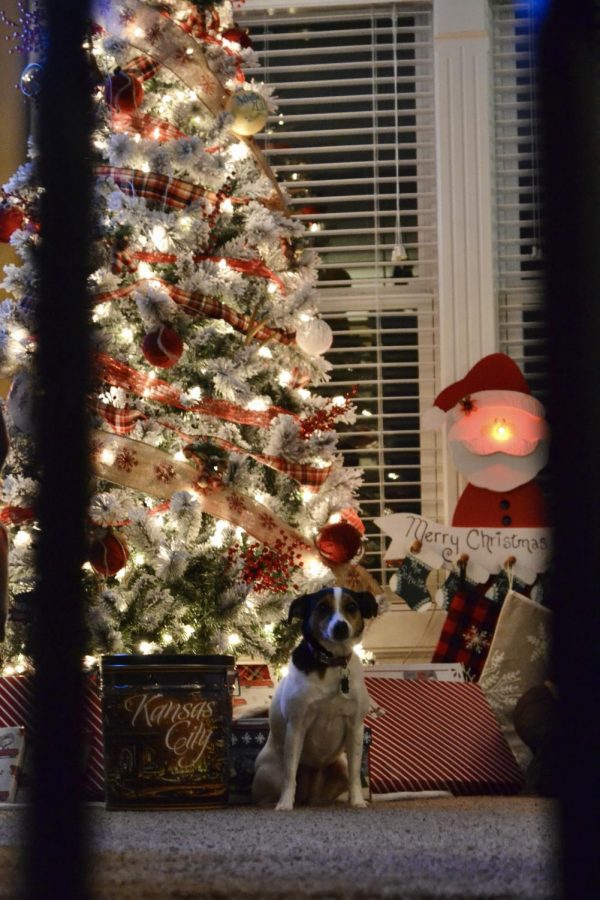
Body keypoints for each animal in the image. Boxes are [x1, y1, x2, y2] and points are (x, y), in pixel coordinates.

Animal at [251, 588, 378, 812]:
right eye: (322, 607)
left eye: (352, 607)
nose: (340, 627)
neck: (331, 663)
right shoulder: (296, 725)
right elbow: (290, 774)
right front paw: (285, 804)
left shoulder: (355, 727)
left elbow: (355, 773)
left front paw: (357, 802)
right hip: (271, 772)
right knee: (268, 792)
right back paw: (277, 802)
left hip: (340, 766)